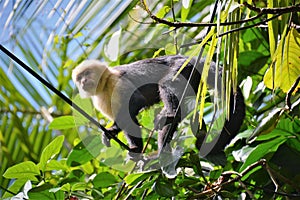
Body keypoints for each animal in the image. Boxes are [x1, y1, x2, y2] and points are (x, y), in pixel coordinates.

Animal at [72, 55, 246, 161]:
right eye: (79, 78)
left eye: (87, 73)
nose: (83, 82)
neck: (104, 84)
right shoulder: (100, 99)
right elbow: (127, 120)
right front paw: (136, 149)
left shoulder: (116, 79)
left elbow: (135, 101)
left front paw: (113, 130)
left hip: (183, 67)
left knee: (167, 84)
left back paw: (171, 115)